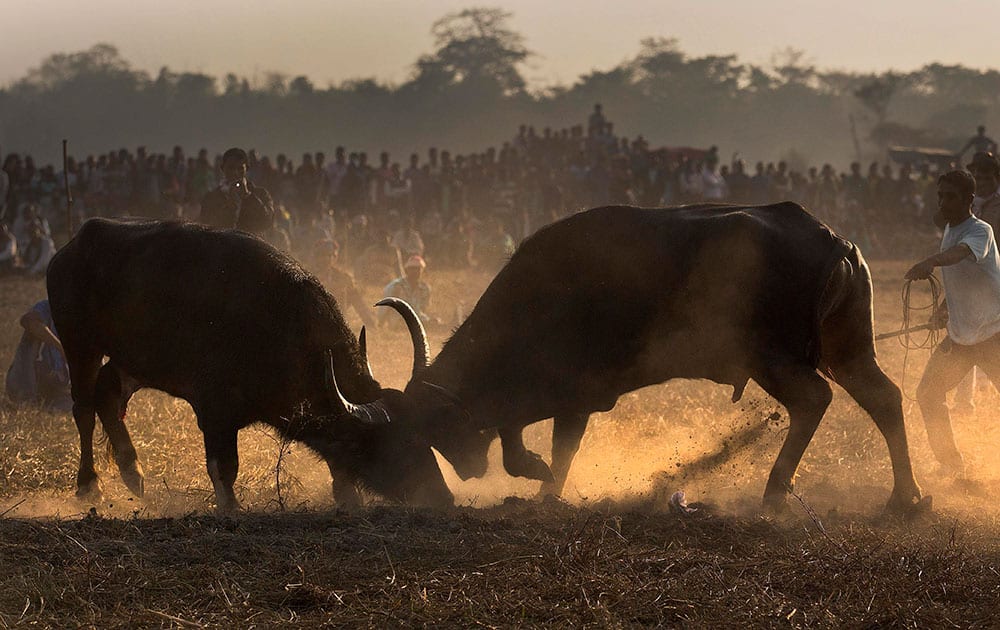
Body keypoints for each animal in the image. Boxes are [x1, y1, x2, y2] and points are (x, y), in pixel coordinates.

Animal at [47, 218, 452, 512]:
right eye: (398, 442)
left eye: (424, 433)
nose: (442, 496)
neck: (278, 326)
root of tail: (70, 249)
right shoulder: (214, 411)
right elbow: (224, 468)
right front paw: (231, 509)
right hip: (79, 344)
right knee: (83, 407)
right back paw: (89, 486)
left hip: (131, 359)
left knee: (108, 393)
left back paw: (134, 473)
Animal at [386, 205, 924, 516]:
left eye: (436, 427)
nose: (467, 471)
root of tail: (835, 241)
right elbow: (532, 439)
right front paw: (544, 487)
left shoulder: (573, 390)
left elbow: (539, 446)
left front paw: (542, 482)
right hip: (848, 348)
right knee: (883, 396)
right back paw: (905, 498)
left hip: (772, 358)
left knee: (814, 398)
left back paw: (775, 492)